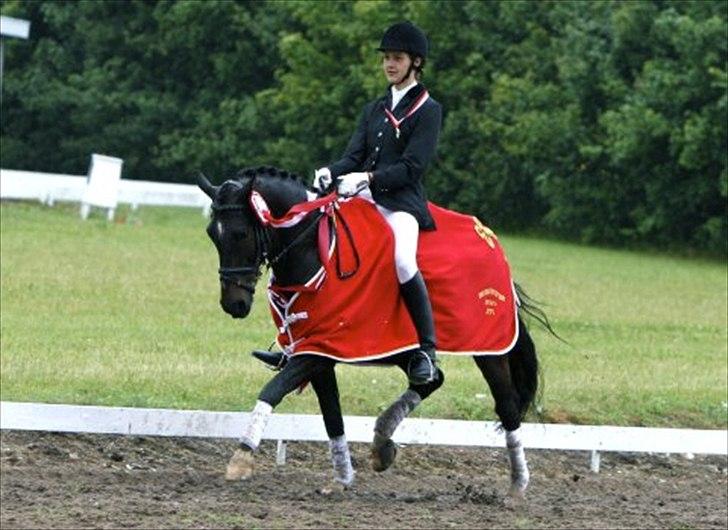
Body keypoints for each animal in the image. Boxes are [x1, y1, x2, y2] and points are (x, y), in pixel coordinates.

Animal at [196, 165, 548, 496]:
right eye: (212, 234)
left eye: (240, 234)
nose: (234, 304)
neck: (314, 250)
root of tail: (489, 238)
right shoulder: (318, 351)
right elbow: (332, 415)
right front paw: (342, 479)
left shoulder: (318, 351)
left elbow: (272, 390)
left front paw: (242, 457)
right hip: (406, 348)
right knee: (431, 378)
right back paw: (382, 443)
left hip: (489, 349)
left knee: (507, 405)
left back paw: (517, 486)